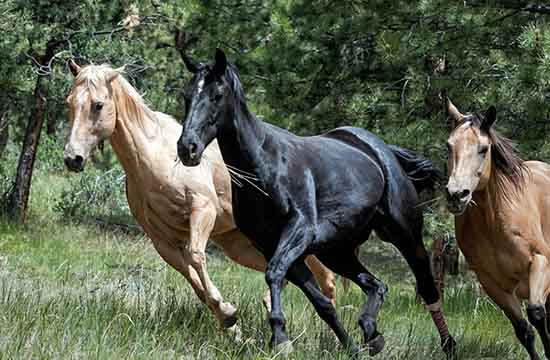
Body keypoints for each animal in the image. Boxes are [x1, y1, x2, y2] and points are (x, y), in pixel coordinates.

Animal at [177, 48, 458, 358]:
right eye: (187, 95)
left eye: (217, 94)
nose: (187, 148)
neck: (264, 164)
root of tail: (382, 150)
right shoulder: (276, 245)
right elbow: (321, 303)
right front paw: (349, 347)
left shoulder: (299, 230)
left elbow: (274, 273)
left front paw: (281, 337)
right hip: (336, 251)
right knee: (376, 285)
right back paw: (371, 333)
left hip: (405, 235)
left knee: (427, 286)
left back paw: (448, 345)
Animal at [446, 97, 550, 358]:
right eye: (449, 146)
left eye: (483, 149)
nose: (456, 195)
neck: (494, 223)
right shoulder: (491, 283)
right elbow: (524, 330)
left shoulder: (542, 261)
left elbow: (537, 313)